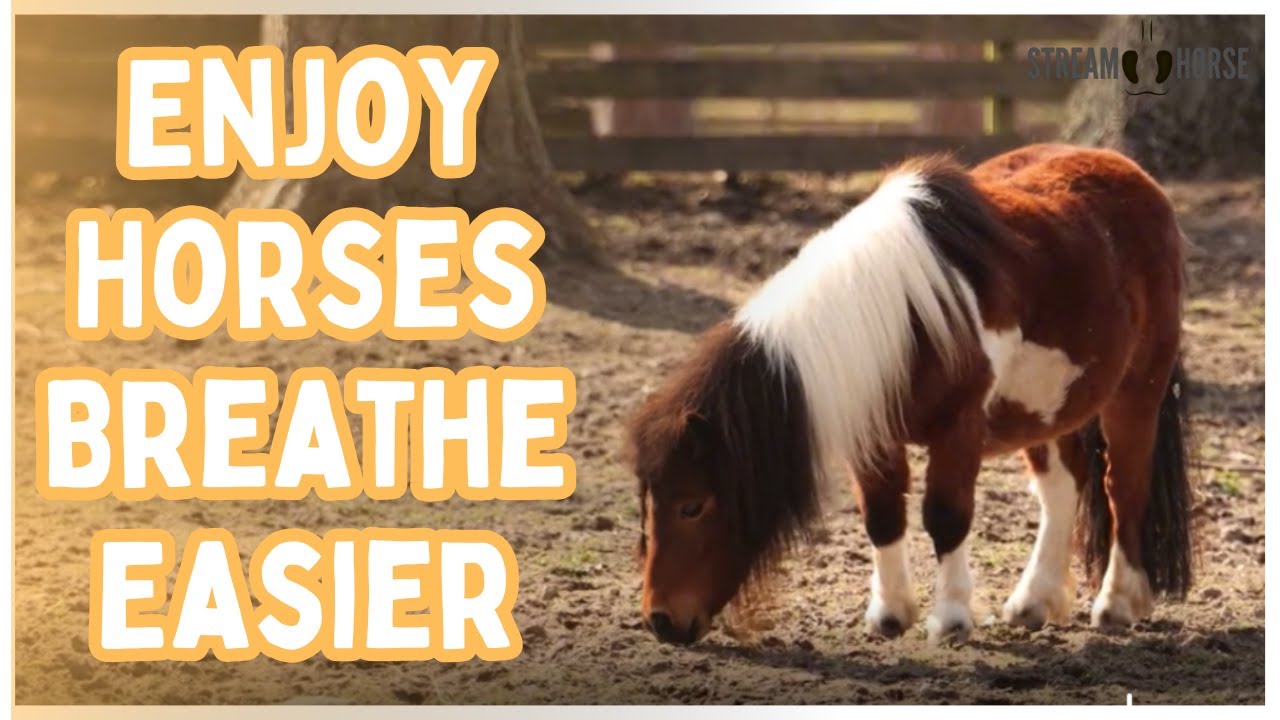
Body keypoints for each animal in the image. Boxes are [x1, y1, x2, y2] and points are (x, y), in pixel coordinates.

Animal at [627, 144, 1193, 646]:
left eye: (693, 506)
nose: (661, 621)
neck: (902, 320)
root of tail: (1133, 174)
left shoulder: (958, 430)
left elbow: (945, 515)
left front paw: (951, 620)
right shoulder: (870, 434)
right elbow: (881, 515)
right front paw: (890, 614)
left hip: (1136, 390)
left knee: (1123, 487)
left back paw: (1117, 603)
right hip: (1048, 405)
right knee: (1062, 488)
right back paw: (1034, 601)